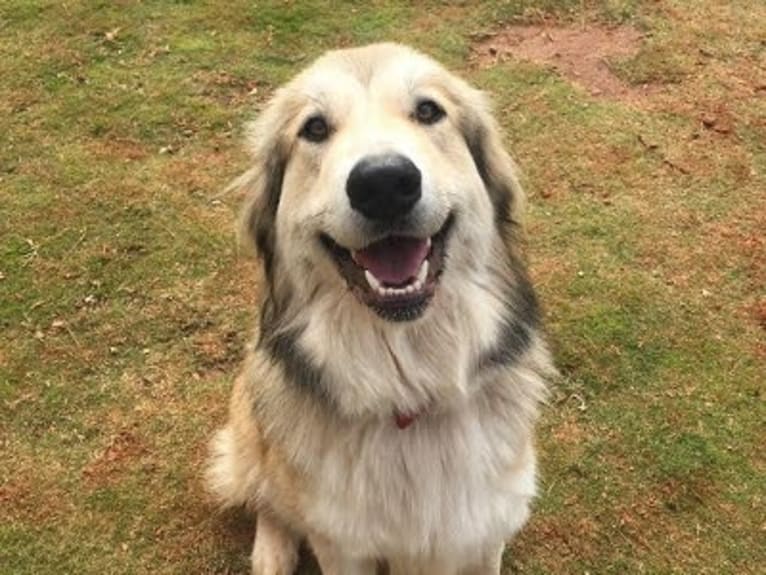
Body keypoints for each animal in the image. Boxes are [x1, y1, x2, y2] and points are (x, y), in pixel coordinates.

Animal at [208, 42, 560, 572]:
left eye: (428, 111)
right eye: (315, 128)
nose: (384, 183)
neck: (409, 395)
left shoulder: (486, 534)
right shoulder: (343, 547)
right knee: (267, 495)